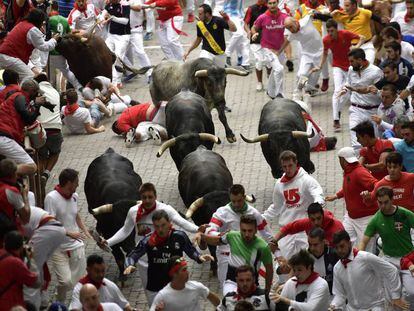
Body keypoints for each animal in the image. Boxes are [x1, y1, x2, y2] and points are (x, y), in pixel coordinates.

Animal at [84, 149, 142, 280]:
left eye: (133, 223)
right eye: (116, 222)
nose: (128, 246)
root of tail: (109, 152)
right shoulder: (109, 235)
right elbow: (119, 256)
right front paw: (122, 274)